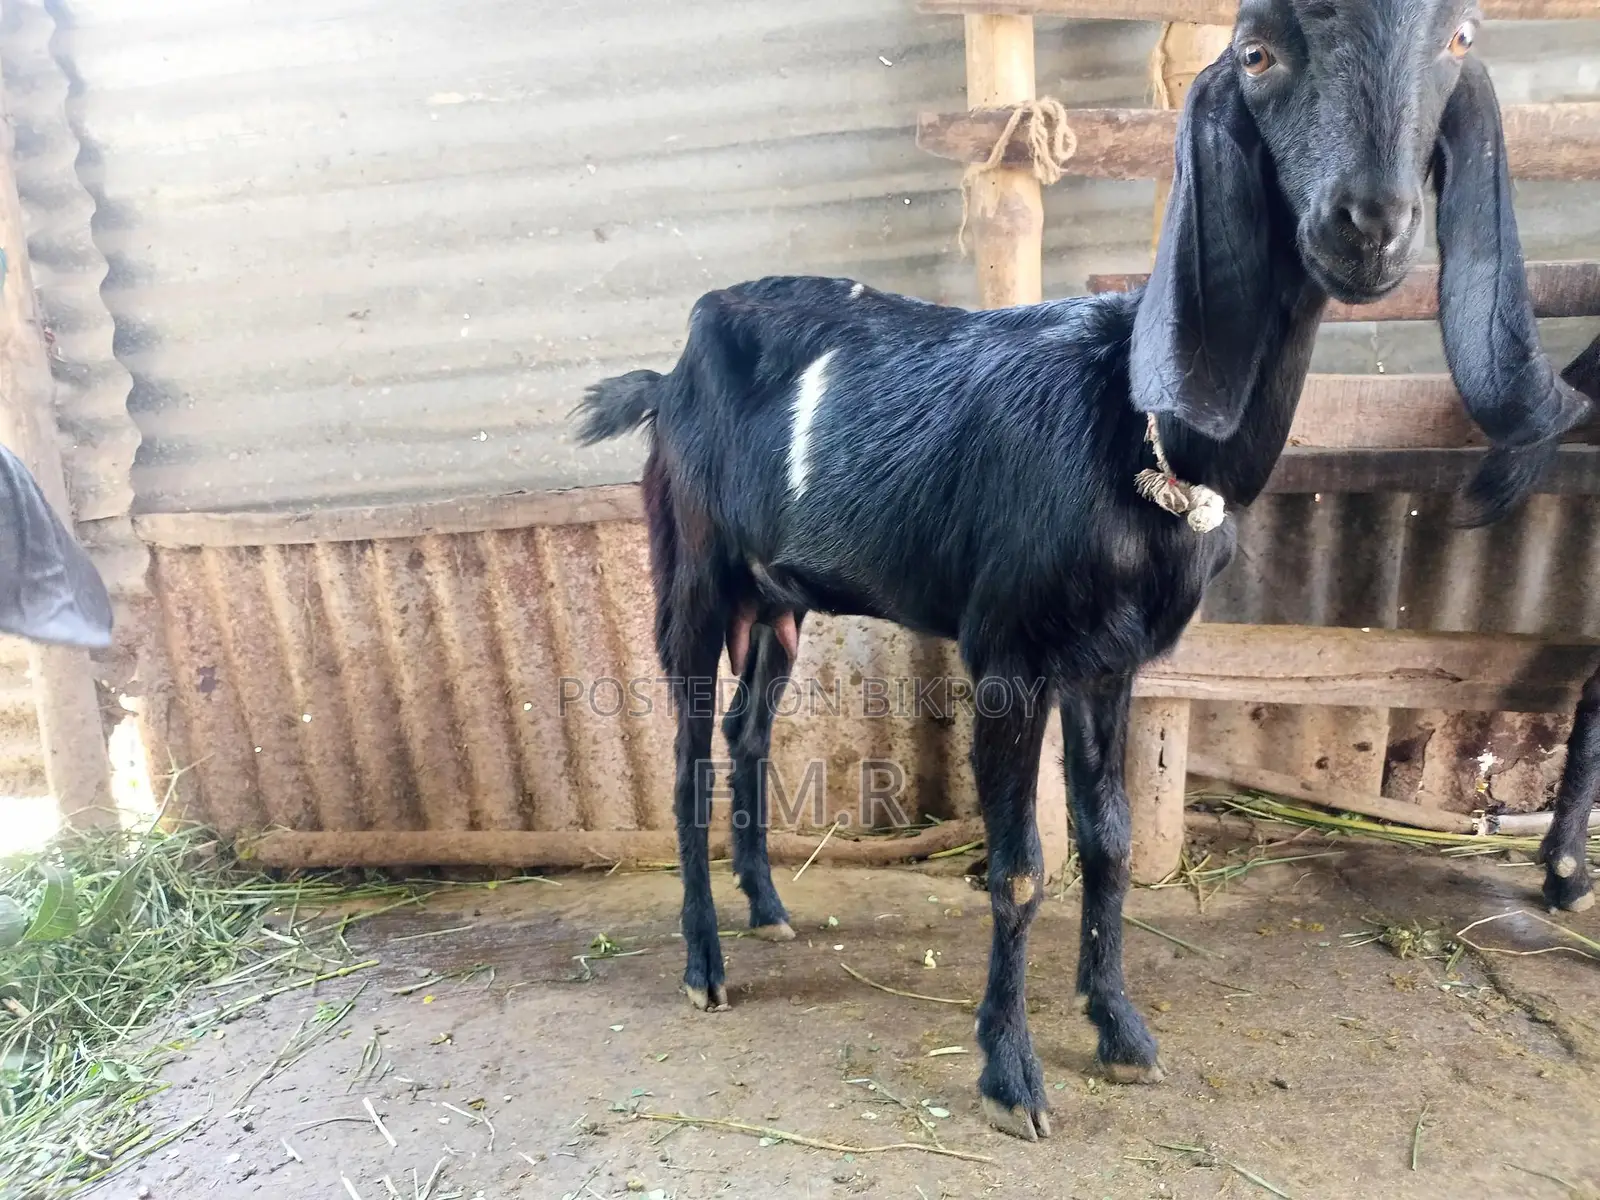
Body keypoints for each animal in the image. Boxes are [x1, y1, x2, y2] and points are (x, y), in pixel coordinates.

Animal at [574, 0, 1588, 1142]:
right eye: (1256, 51)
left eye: (1459, 40)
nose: (1368, 224)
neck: (1131, 422)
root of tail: (667, 373)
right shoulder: (1009, 655)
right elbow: (1021, 869)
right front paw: (1011, 1074)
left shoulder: (1109, 661)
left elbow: (1107, 843)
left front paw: (1120, 1031)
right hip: (693, 570)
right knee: (686, 760)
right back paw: (704, 963)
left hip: (780, 598)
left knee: (748, 736)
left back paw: (768, 909)